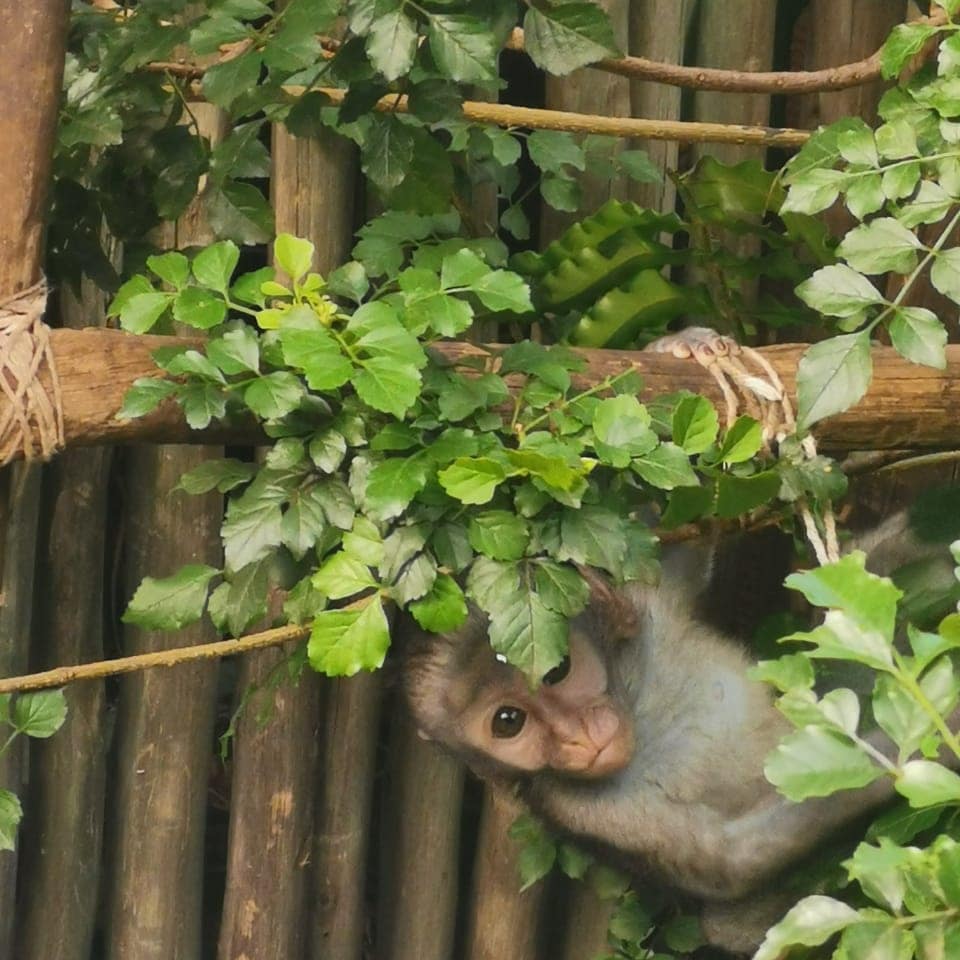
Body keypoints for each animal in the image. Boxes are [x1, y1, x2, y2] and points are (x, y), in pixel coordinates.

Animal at [401, 515, 960, 955]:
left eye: (556, 670)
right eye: (508, 722)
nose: (577, 736)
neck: (640, 709)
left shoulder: (652, 605)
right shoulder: (578, 807)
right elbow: (727, 858)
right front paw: (934, 747)